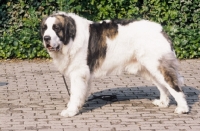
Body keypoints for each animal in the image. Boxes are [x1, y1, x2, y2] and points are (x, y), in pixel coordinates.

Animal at [40, 11, 189, 117]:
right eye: (45, 28)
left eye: (56, 28)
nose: (46, 38)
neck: (71, 37)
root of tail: (160, 29)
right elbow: (81, 92)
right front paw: (79, 106)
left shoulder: (78, 72)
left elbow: (75, 93)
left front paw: (70, 110)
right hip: (149, 68)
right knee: (163, 86)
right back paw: (163, 103)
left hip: (157, 65)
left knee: (173, 86)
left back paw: (182, 108)